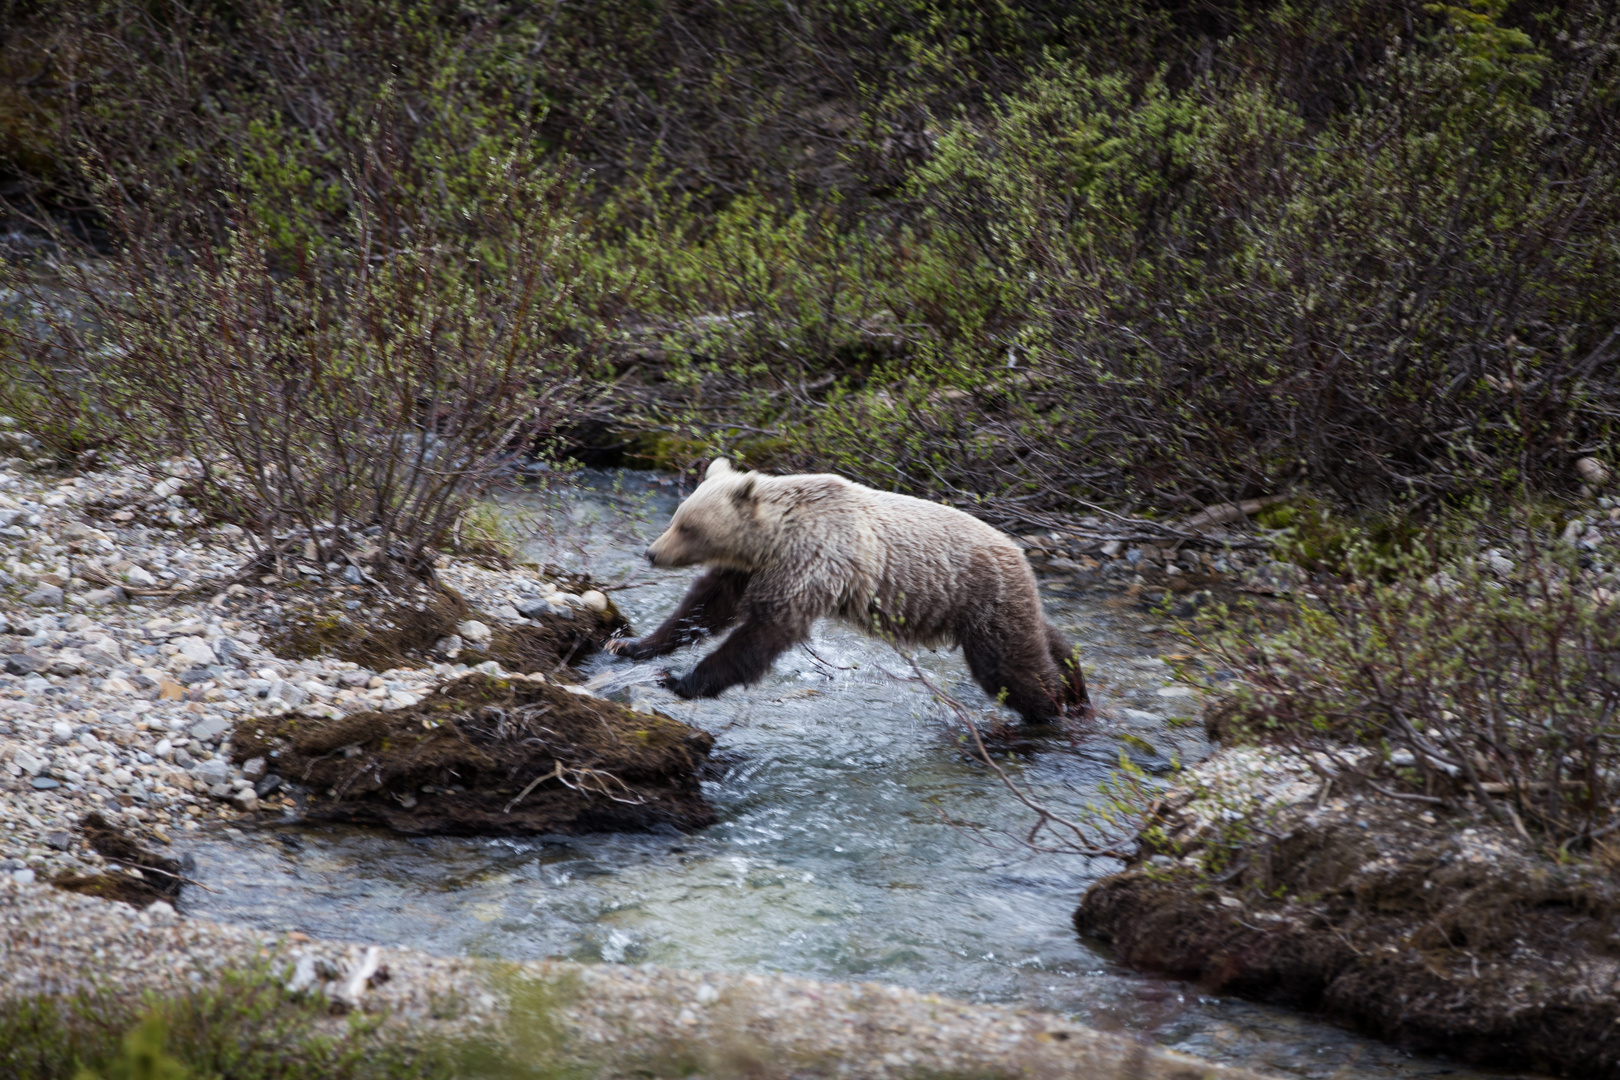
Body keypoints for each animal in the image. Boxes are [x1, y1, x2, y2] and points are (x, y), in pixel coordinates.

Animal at [609, 459, 1088, 722]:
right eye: (677, 517)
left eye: (687, 526)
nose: (652, 552)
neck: (775, 539)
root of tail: (1021, 553)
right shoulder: (752, 568)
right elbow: (707, 604)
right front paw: (632, 645)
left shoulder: (811, 562)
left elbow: (764, 632)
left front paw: (682, 680)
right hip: (1005, 605)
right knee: (1051, 642)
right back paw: (1077, 690)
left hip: (983, 601)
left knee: (1010, 669)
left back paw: (1054, 711)